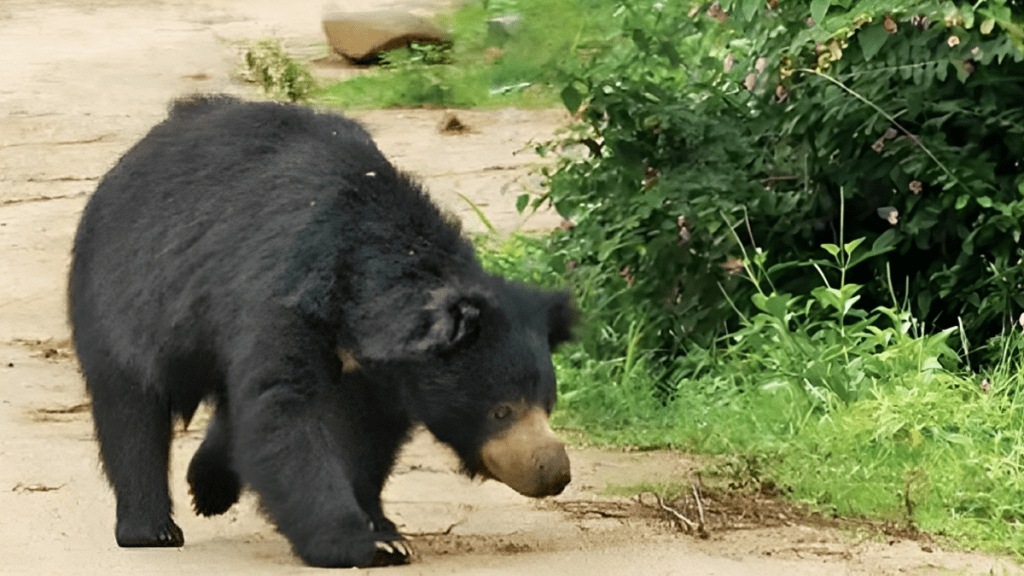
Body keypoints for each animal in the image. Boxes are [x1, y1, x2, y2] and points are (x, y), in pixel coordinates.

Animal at [69, 94, 577, 565]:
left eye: (547, 403)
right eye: (501, 409)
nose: (555, 472)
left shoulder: (380, 376)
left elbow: (366, 438)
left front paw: (384, 528)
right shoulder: (283, 292)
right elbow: (285, 415)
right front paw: (363, 543)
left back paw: (210, 485)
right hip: (125, 292)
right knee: (132, 409)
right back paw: (151, 528)